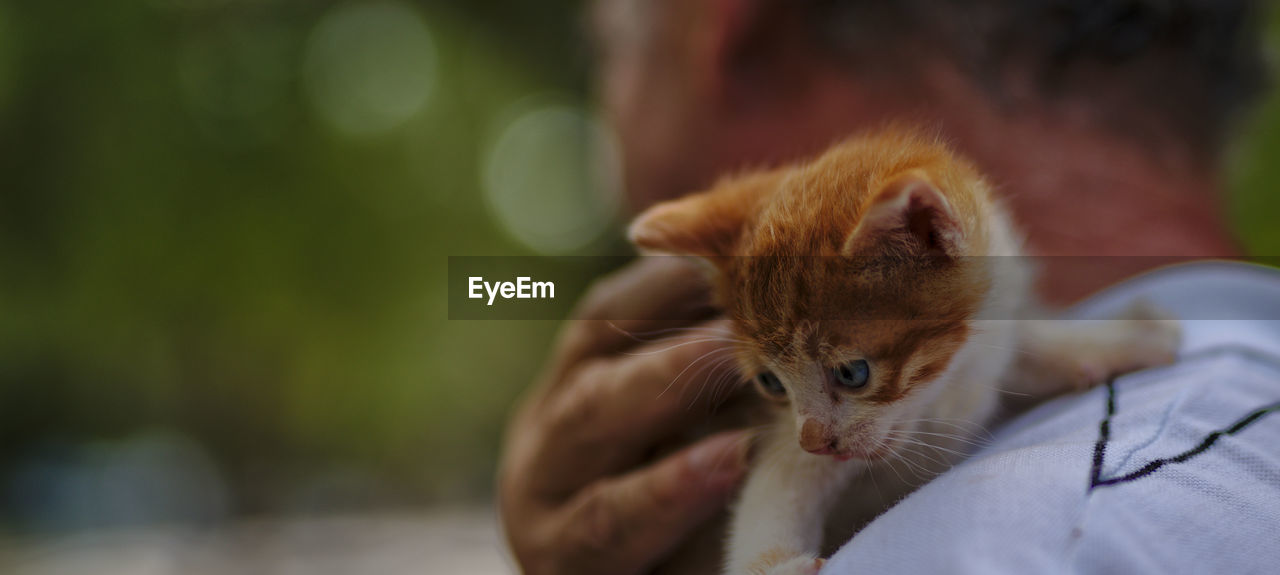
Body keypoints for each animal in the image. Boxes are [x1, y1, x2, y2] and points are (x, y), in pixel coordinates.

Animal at [629, 128, 1177, 573]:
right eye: (769, 383)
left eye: (852, 372)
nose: (814, 440)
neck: (945, 389)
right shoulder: (787, 439)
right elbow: (775, 487)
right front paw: (778, 566)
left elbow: (1029, 348)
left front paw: (1125, 340)